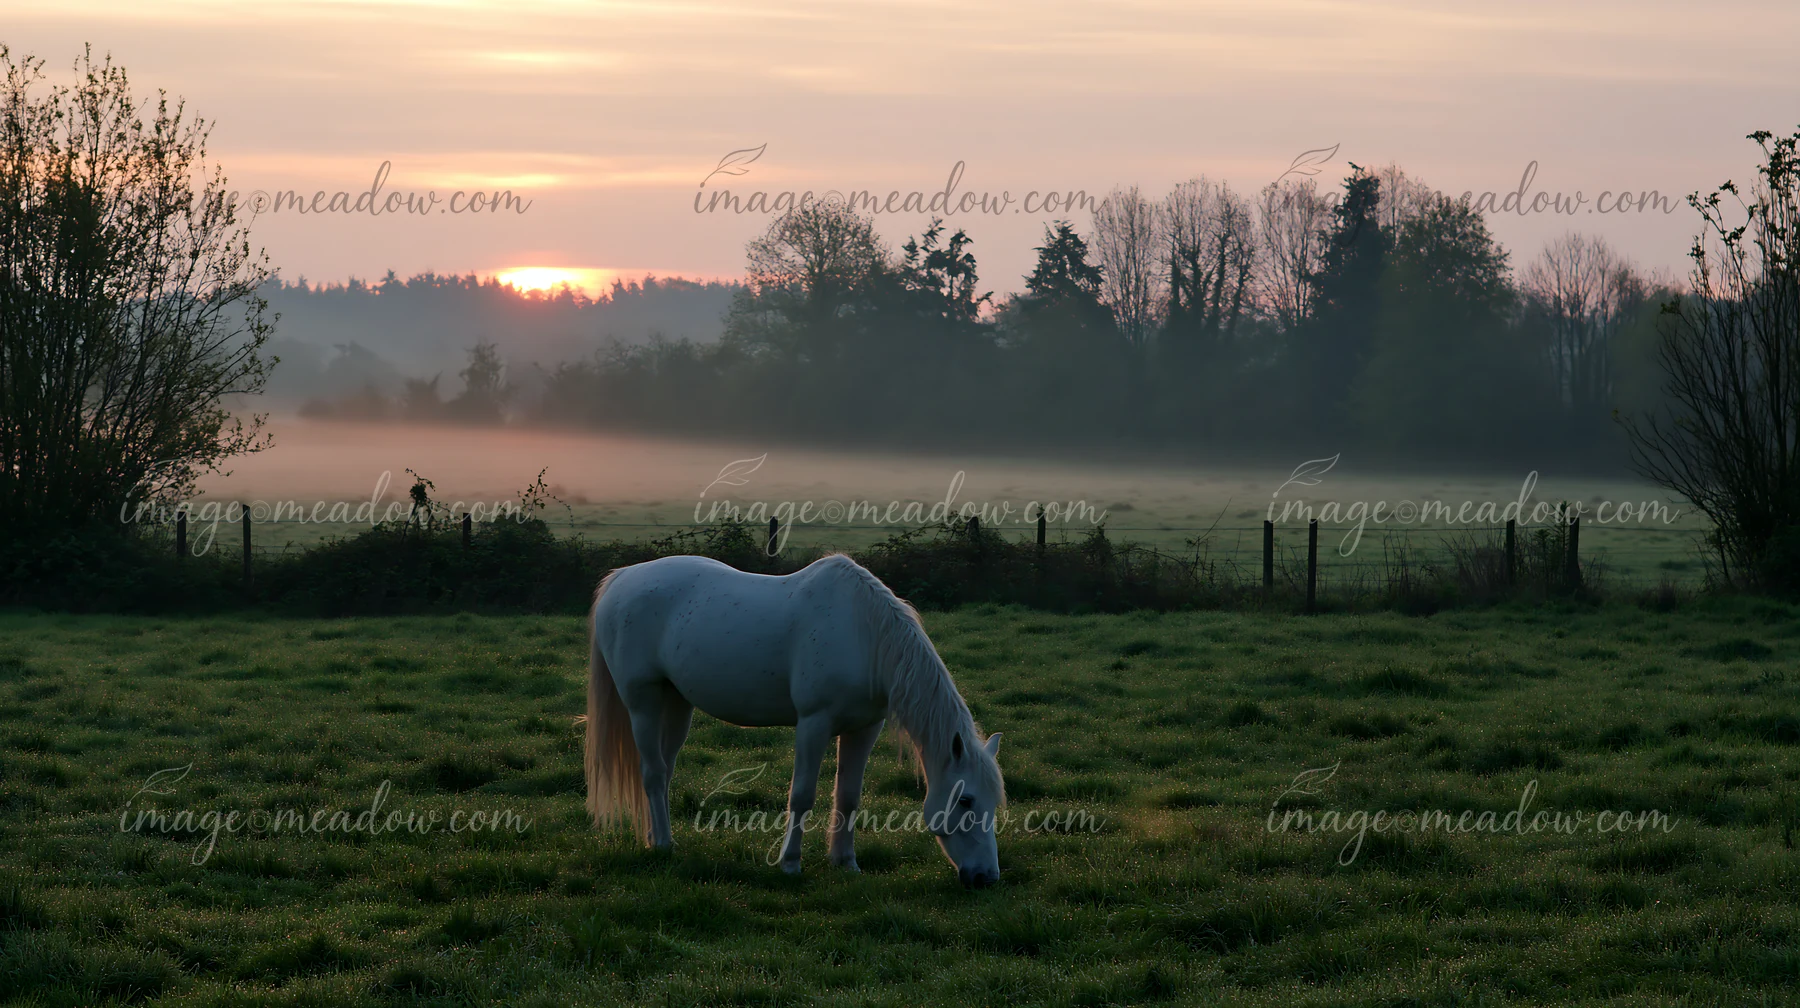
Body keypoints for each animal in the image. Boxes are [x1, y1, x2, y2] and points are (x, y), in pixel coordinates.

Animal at [585, 553, 1006, 887]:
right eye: (966, 799)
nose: (986, 877)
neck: (865, 634)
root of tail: (623, 577)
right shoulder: (814, 724)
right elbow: (801, 795)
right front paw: (790, 864)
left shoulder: (864, 729)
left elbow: (849, 796)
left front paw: (845, 863)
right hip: (643, 703)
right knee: (653, 773)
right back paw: (664, 845)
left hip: (677, 704)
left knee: (664, 771)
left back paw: (655, 836)